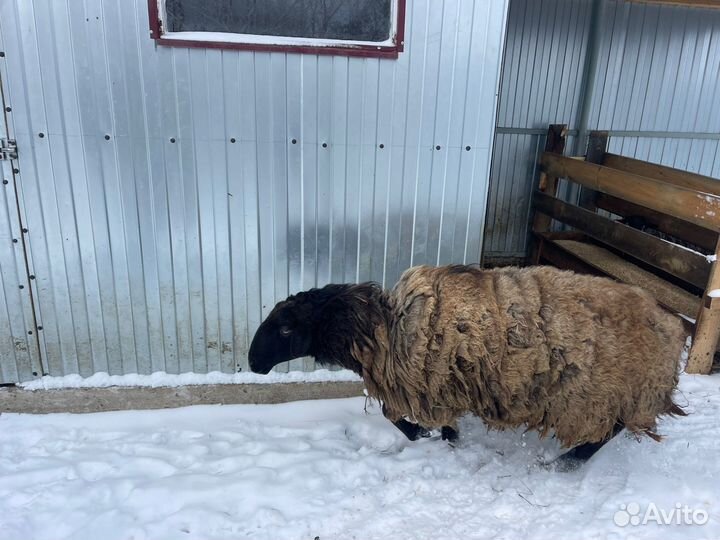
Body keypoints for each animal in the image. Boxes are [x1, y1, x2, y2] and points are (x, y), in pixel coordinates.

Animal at [249, 264, 688, 466]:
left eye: (285, 328)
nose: (253, 362)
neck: (384, 330)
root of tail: (672, 323)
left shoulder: (431, 383)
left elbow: (399, 417)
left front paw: (433, 437)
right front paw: (438, 437)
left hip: (605, 394)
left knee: (606, 433)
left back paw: (564, 463)